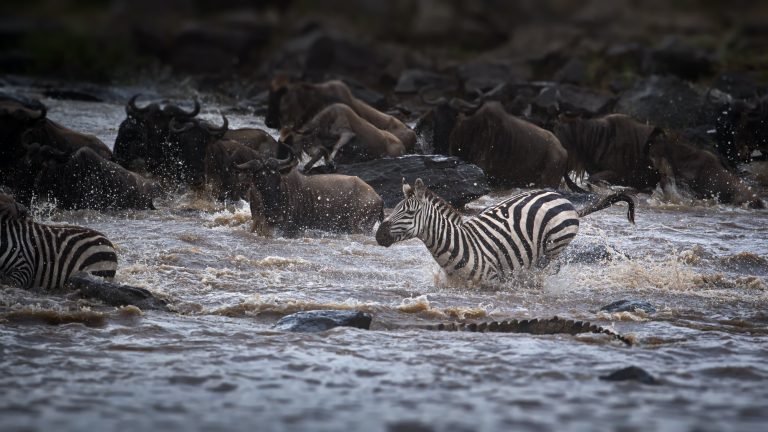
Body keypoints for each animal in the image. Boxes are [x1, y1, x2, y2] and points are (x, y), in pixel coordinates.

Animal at [375, 179, 634, 283]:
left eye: (408, 212)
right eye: (394, 208)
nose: (378, 235)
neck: (458, 245)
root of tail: (560, 197)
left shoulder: (491, 280)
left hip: (555, 246)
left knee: (547, 269)